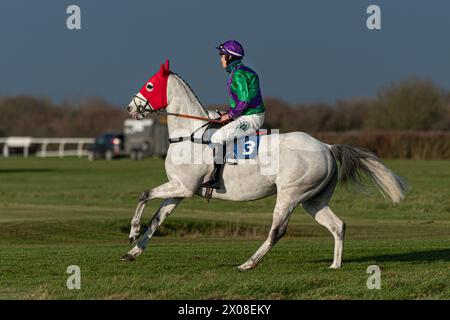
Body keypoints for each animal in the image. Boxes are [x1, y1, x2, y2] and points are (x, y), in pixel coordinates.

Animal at [122, 60, 408, 270]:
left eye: (149, 85)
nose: (130, 108)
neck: (190, 135)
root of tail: (327, 147)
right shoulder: (178, 189)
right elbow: (157, 219)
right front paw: (133, 251)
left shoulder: (184, 187)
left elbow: (143, 194)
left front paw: (132, 232)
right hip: (313, 200)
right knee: (338, 226)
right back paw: (335, 265)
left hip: (291, 194)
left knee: (277, 231)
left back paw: (247, 264)